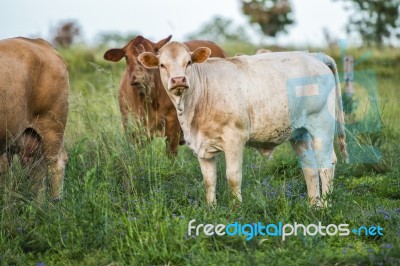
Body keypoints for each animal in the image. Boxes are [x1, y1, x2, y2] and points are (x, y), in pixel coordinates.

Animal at [139, 42, 348, 208]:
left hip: (321, 125)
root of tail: (313, 55)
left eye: (188, 62)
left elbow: (233, 176)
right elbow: (209, 180)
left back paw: (325, 206)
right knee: (309, 167)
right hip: (299, 133)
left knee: (326, 163)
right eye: (162, 65)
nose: (178, 80)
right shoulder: (202, 146)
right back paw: (314, 205)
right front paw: (211, 209)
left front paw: (236, 208)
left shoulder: (234, 138)